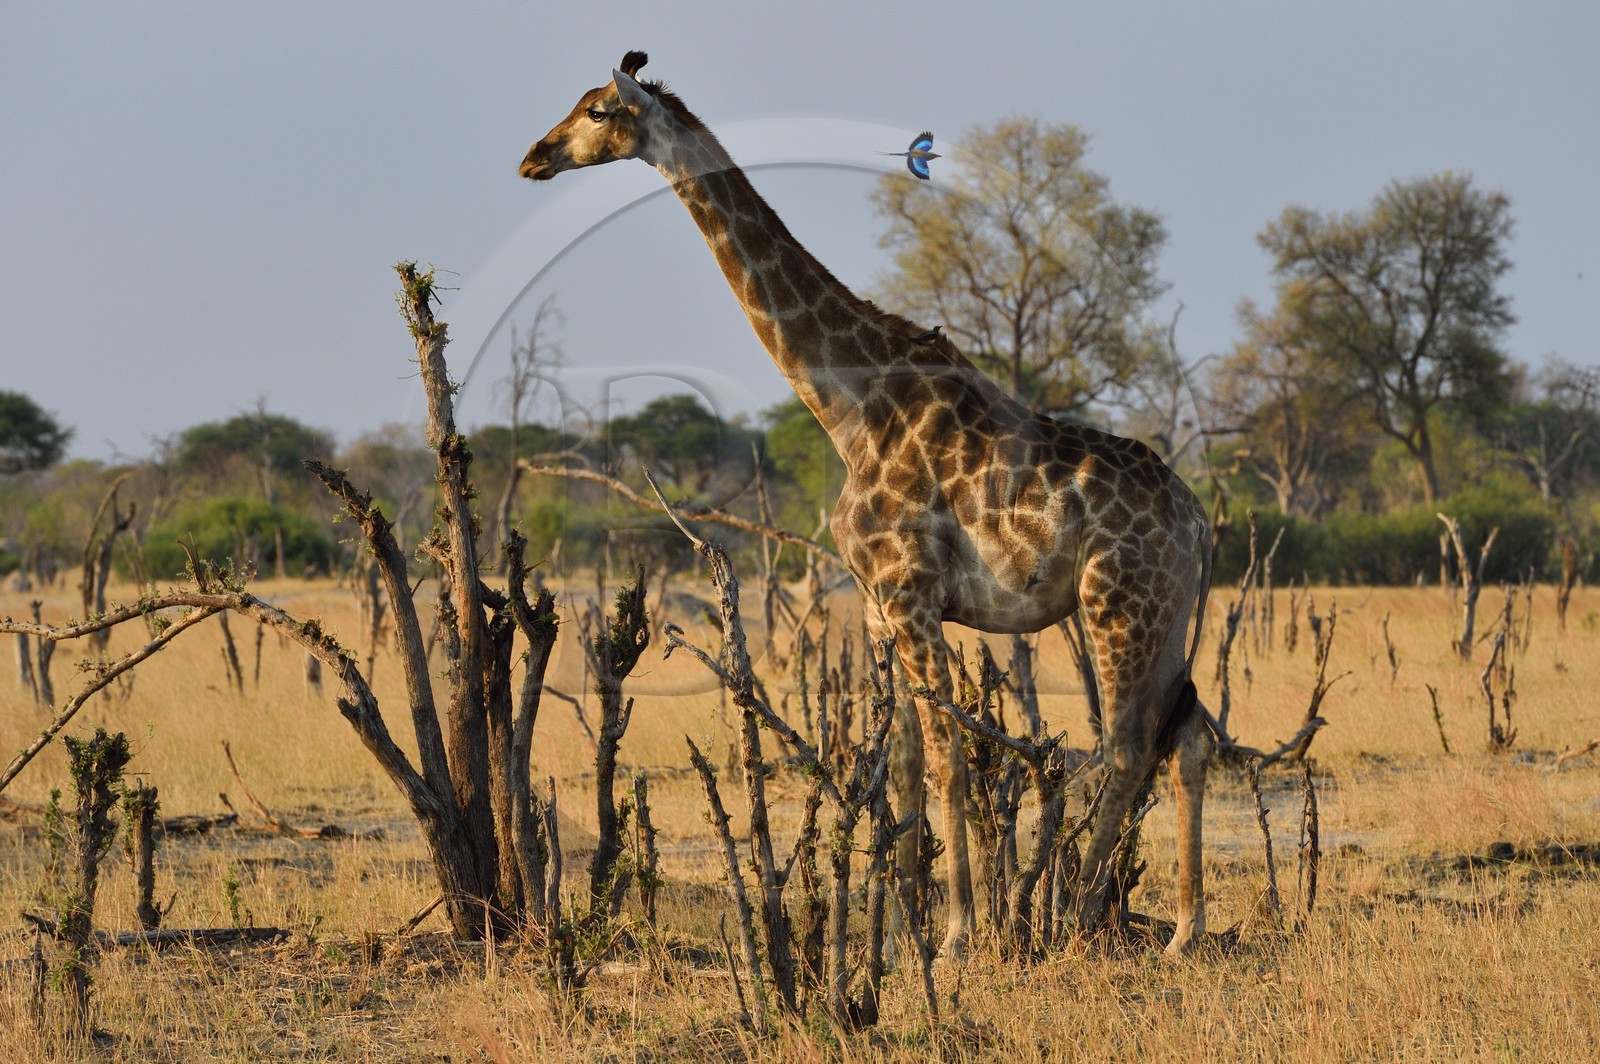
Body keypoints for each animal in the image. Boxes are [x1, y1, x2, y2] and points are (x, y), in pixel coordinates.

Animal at [520, 52, 1215, 958]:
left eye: (599, 111)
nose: (533, 157)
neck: (848, 405)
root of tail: (1198, 522)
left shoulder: (910, 590)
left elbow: (951, 751)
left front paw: (957, 934)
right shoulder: (884, 607)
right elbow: (910, 762)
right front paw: (902, 934)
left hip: (1118, 602)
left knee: (1130, 745)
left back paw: (1076, 918)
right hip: (1171, 613)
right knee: (1189, 736)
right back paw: (1184, 931)